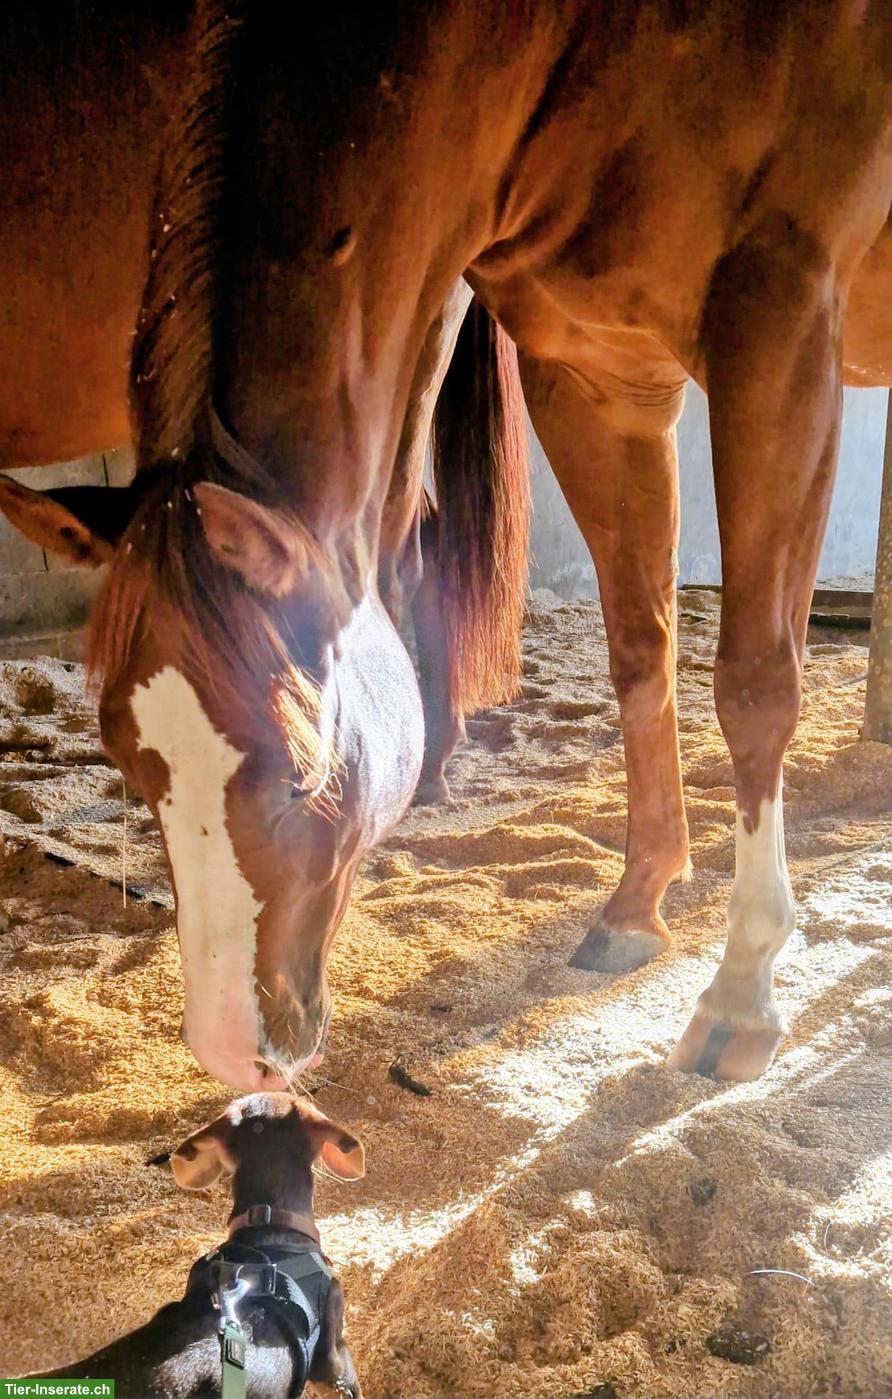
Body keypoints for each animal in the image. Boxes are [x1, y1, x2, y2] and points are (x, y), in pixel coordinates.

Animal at [1, 0, 890, 1090]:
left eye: (299, 771)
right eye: (131, 765)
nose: (232, 1052)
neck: (601, 50)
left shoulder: (783, 331)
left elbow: (756, 685)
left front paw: (742, 989)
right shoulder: (598, 380)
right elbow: (640, 652)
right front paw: (637, 904)